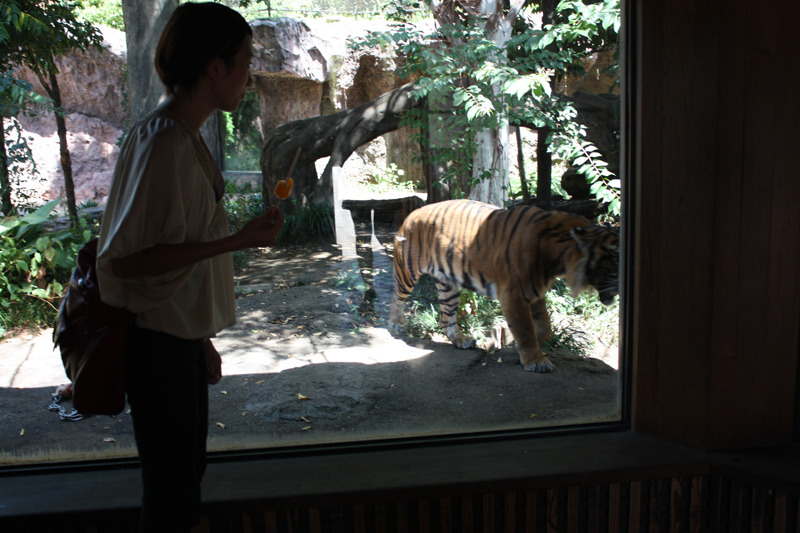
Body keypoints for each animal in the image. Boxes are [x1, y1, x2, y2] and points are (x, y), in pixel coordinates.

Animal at [388, 198, 620, 370]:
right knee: (397, 296)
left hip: (448, 284)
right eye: (615, 258)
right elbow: (525, 328)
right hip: (407, 270)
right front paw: (535, 360)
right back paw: (396, 324)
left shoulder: (535, 292)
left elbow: (545, 326)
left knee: (446, 318)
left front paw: (524, 346)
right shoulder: (513, 293)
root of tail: (412, 213)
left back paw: (461, 340)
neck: (559, 259)